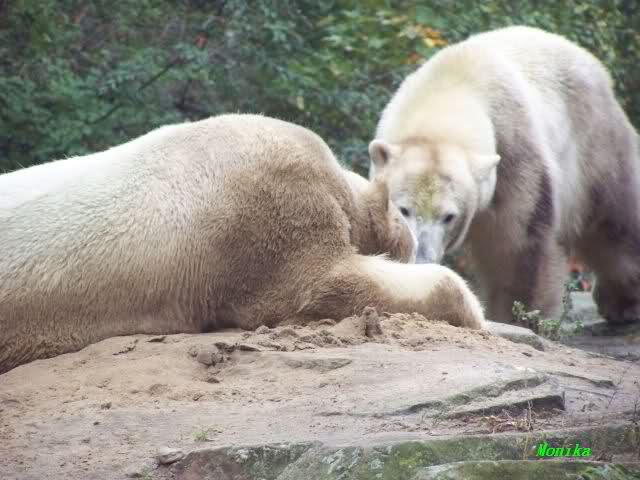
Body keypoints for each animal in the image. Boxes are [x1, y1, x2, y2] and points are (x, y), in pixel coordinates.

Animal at [368, 25, 640, 325]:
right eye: (404, 209)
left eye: (449, 216)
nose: (422, 259)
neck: (450, 86)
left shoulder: (515, 150)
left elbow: (516, 246)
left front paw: (516, 318)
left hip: (594, 141)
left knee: (615, 221)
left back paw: (623, 303)